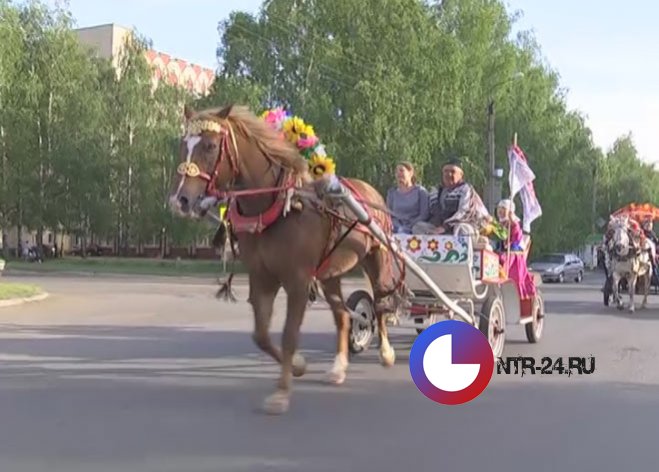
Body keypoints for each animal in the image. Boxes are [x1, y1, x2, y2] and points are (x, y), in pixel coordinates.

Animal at [169, 105, 402, 414]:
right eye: (183, 145)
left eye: (209, 146)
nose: (180, 200)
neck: (280, 206)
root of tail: (370, 190)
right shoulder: (261, 277)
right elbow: (261, 335)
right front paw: (299, 365)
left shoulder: (298, 280)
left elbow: (289, 335)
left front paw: (281, 393)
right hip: (330, 273)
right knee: (342, 315)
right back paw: (338, 367)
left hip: (376, 258)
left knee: (379, 304)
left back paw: (386, 352)